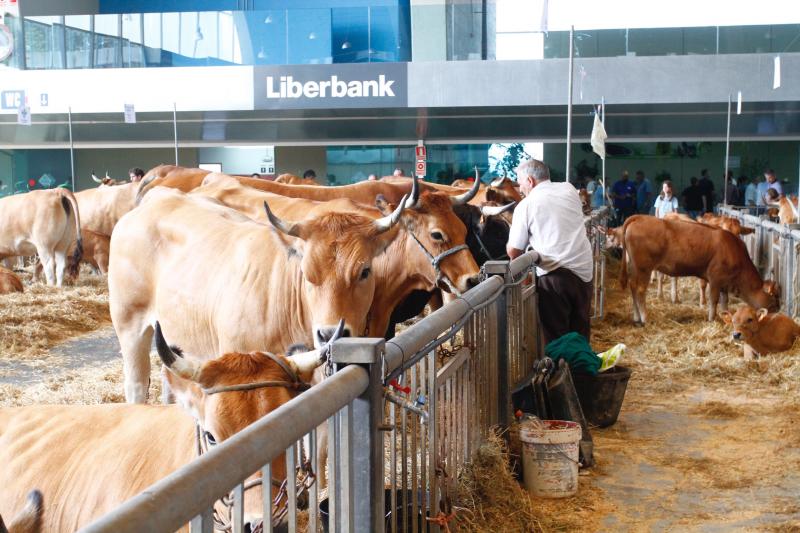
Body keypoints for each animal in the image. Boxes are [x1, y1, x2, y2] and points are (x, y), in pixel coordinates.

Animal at [616, 214, 780, 322]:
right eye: (774, 297)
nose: (778, 311)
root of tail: (640, 218)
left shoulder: (725, 283)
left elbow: (724, 300)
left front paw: (725, 315)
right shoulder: (715, 278)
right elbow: (714, 300)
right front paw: (712, 319)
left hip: (634, 267)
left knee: (632, 286)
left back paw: (636, 317)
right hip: (644, 268)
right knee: (640, 289)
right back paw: (645, 318)